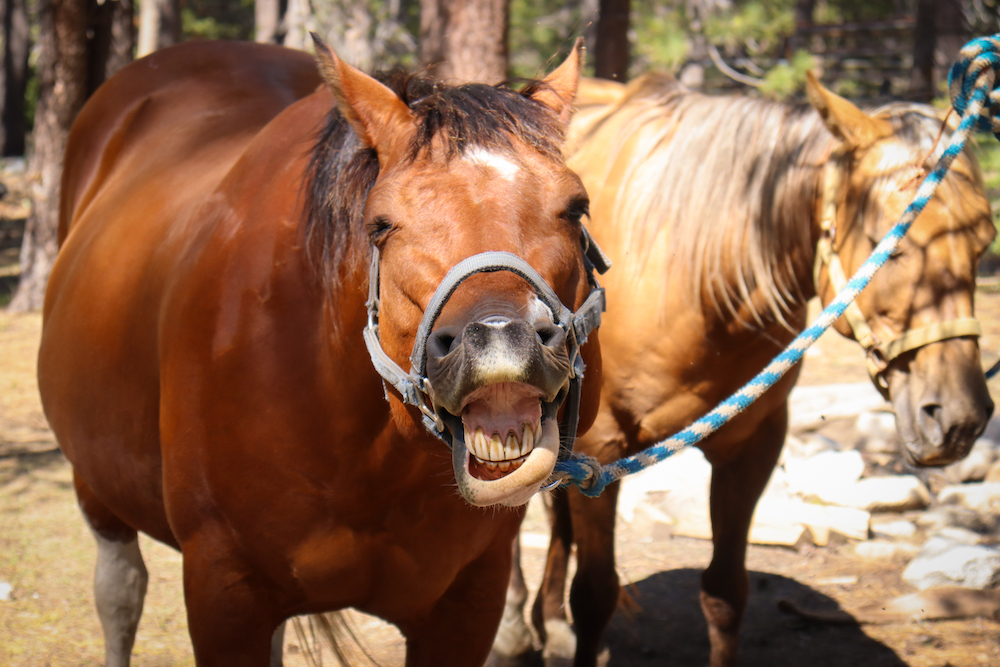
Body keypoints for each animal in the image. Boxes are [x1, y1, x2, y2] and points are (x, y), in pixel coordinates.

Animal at [37, 37, 600, 667]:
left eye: (576, 208)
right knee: (120, 592)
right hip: (96, 483)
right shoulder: (223, 593)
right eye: (380, 225)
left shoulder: (467, 602)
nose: (502, 337)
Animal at [496, 73, 996, 667]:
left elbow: (725, 593)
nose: (960, 419)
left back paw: (549, 624)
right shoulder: (602, 451)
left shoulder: (752, 445)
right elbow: (595, 595)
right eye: (887, 247)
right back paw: (513, 630)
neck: (694, 278)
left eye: (984, 244)